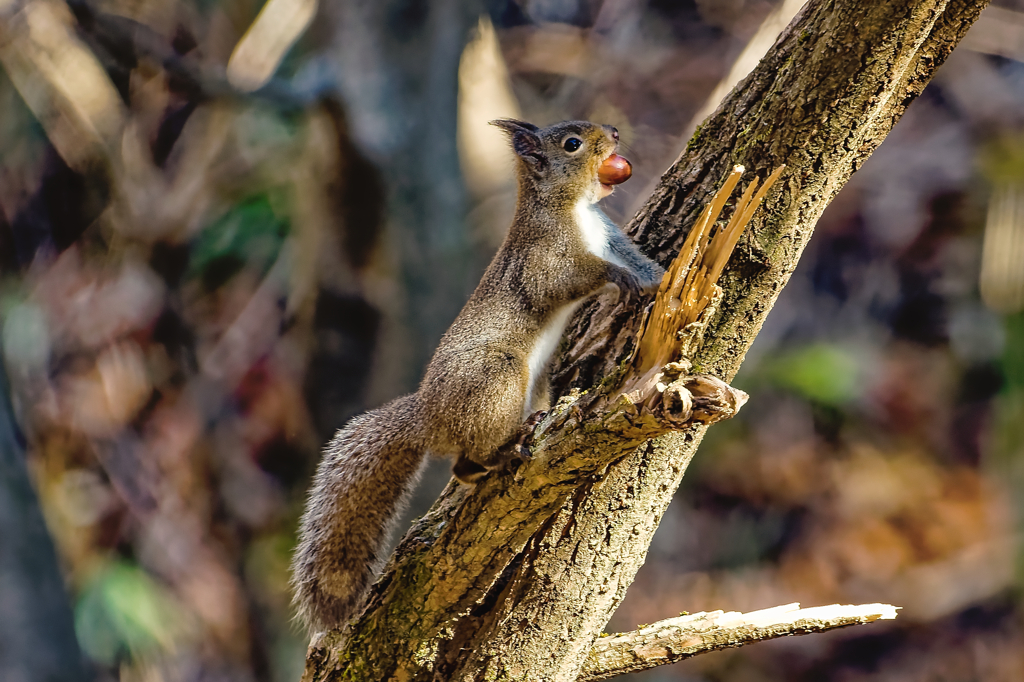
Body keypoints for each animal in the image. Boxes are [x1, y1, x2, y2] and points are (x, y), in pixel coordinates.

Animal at [292, 118, 667, 630]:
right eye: (571, 144)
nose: (612, 133)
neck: (573, 208)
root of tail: (429, 418)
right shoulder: (545, 260)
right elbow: (573, 278)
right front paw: (622, 280)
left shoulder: (614, 239)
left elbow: (641, 262)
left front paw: (665, 276)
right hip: (496, 379)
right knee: (470, 457)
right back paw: (506, 450)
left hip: (531, 386)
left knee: (467, 461)